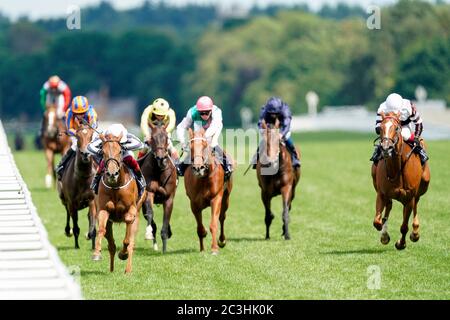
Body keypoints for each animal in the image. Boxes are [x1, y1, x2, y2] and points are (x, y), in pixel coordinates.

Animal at [91, 131, 146, 274]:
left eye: (120, 151)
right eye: (103, 152)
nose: (112, 174)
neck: (116, 186)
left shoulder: (132, 209)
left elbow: (128, 225)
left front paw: (123, 253)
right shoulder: (103, 210)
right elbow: (101, 229)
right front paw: (96, 253)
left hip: (137, 216)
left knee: (131, 242)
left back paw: (128, 269)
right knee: (111, 245)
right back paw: (111, 270)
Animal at [139, 121, 178, 254]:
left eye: (166, 138)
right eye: (152, 138)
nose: (161, 159)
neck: (159, 170)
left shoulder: (169, 198)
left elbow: (166, 222)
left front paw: (165, 249)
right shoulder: (149, 192)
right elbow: (150, 214)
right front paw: (148, 234)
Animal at [370, 112, 430, 250]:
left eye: (397, 128)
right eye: (380, 128)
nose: (386, 148)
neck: (396, 169)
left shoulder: (409, 197)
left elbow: (404, 227)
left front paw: (401, 243)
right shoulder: (381, 193)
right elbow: (377, 221)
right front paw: (384, 235)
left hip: (423, 185)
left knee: (416, 203)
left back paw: (415, 232)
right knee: (389, 206)